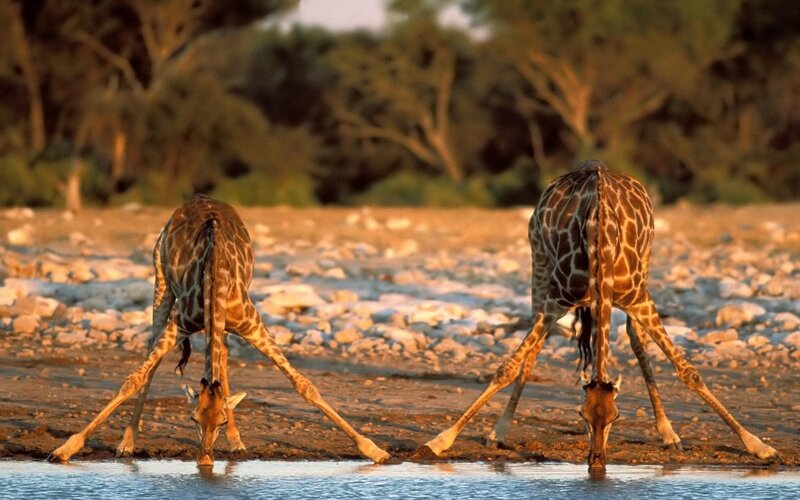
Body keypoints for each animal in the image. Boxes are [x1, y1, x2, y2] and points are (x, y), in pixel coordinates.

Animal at [48, 194, 391, 466]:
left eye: (221, 420)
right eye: (192, 418)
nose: (205, 459)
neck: (215, 277)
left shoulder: (252, 324)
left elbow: (304, 385)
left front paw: (374, 450)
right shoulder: (180, 323)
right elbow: (133, 379)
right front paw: (65, 449)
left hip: (219, 322)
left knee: (222, 361)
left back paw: (237, 442)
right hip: (161, 282)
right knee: (153, 357)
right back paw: (127, 442)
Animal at [415, 160, 778, 467]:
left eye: (616, 416)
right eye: (581, 416)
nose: (597, 460)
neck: (600, 241)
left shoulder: (639, 299)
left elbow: (689, 373)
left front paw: (759, 445)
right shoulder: (555, 301)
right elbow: (508, 367)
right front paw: (440, 440)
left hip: (645, 266)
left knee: (635, 339)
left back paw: (669, 434)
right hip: (539, 262)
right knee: (533, 348)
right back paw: (499, 432)